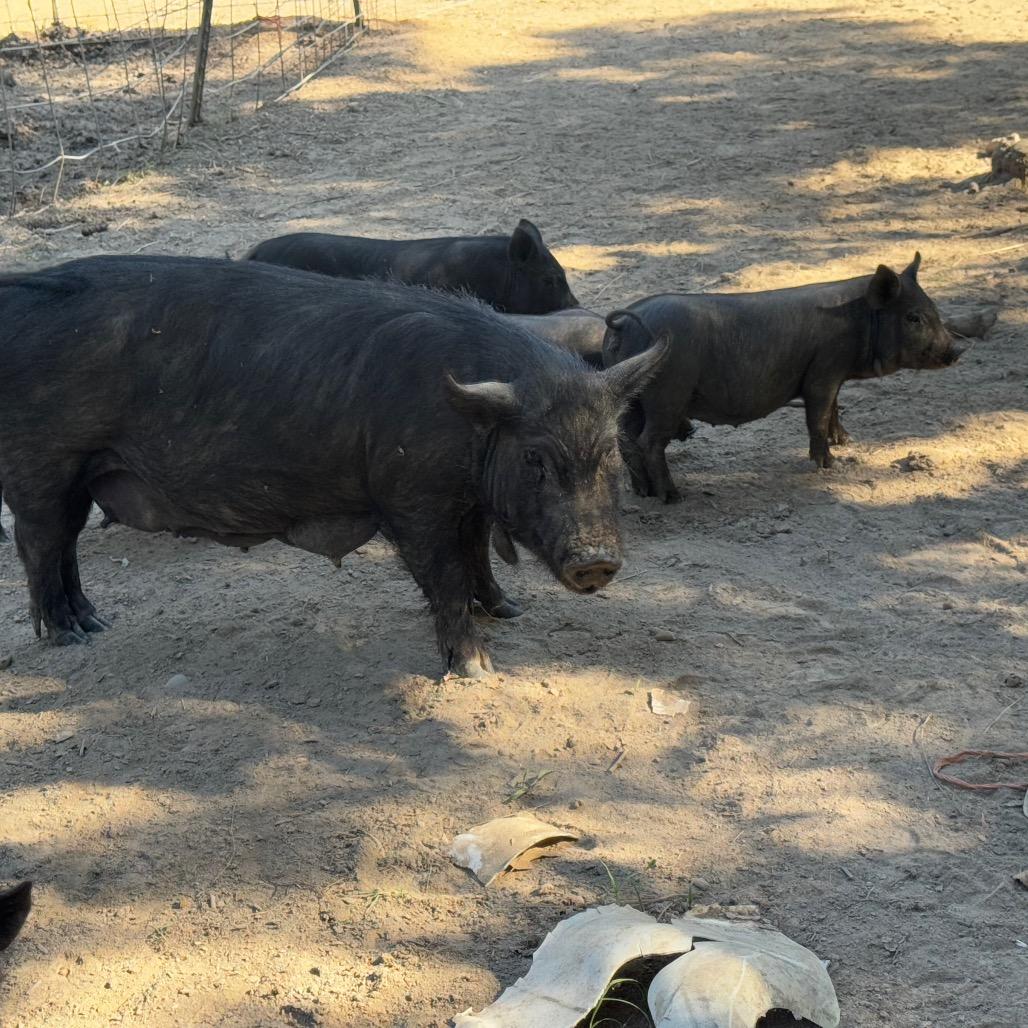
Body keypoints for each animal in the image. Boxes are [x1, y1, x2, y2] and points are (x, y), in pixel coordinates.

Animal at [0, 256, 665, 676]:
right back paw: (69, 634)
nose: (596, 561)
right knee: (39, 545)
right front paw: (476, 668)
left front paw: (508, 609)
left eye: (609, 450)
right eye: (534, 457)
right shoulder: (411, 498)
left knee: (64, 546)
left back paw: (94, 624)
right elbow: (445, 574)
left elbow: (477, 554)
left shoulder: (468, 501)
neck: (470, 425)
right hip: (41, 465)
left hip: (76, 476)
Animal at [602, 253, 963, 502]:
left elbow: (835, 406)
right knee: (648, 441)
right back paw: (673, 497)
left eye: (933, 309)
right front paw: (829, 465)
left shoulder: (834, 373)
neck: (859, 319)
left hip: (632, 396)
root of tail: (625, 323)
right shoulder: (824, 369)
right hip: (667, 395)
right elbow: (818, 414)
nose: (957, 349)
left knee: (626, 438)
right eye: (914, 317)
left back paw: (643, 492)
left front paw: (846, 441)